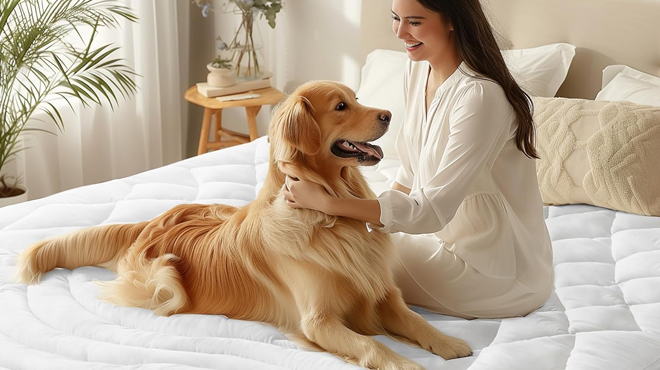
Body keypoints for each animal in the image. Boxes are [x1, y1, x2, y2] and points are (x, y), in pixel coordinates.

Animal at [14, 81, 470, 370]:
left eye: (357, 98)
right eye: (341, 106)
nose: (390, 114)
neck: (329, 217)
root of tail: (157, 218)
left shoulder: (383, 294)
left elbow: (417, 321)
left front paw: (450, 343)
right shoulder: (317, 322)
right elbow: (371, 345)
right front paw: (407, 364)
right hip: (164, 282)